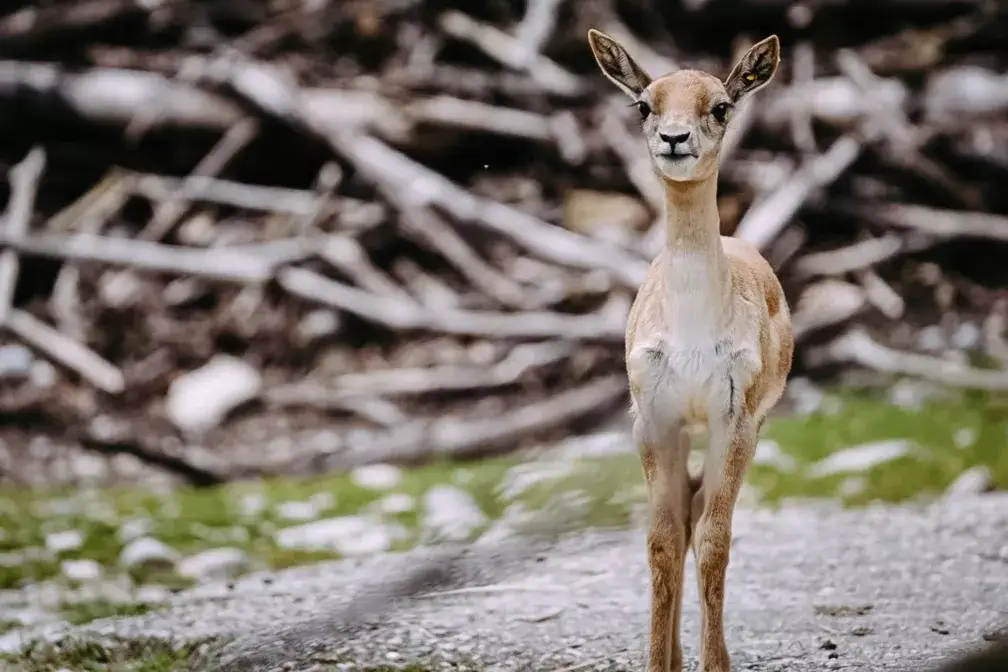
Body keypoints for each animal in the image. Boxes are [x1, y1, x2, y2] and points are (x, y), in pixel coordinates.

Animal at [586, 29, 795, 672]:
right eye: (644, 104)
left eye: (720, 105)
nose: (674, 138)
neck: (694, 334)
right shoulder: (653, 416)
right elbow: (662, 538)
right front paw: (658, 662)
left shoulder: (736, 417)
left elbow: (714, 538)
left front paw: (714, 663)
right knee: (684, 514)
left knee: (703, 513)